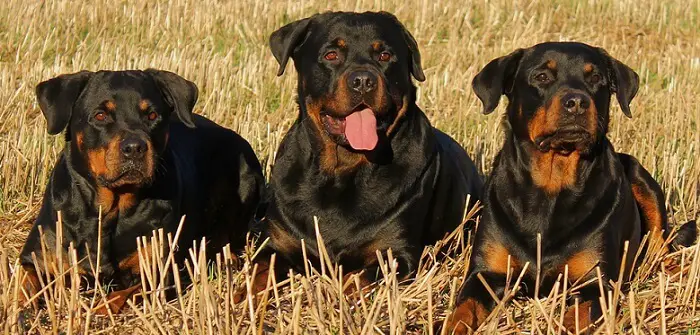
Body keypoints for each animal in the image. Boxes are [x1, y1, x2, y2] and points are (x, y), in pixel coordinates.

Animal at [21, 69, 266, 314]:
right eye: (100, 115)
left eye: (152, 115)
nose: (134, 148)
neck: (110, 209)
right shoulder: (38, 257)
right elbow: (24, 283)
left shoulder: (158, 272)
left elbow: (121, 296)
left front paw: (98, 309)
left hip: (247, 177)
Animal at [238, 10, 484, 302]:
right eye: (331, 55)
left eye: (385, 55)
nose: (364, 81)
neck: (342, 170)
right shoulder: (277, 241)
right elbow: (258, 271)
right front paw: (242, 297)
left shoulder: (395, 254)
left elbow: (356, 280)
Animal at [438, 43, 696, 334]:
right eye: (541, 77)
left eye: (596, 78)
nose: (577, 102)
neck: (551, 184)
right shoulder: (485, 274)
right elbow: (462, 312)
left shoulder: (595, 283)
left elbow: (575, 319)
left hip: (641, 178)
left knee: (660, 246)